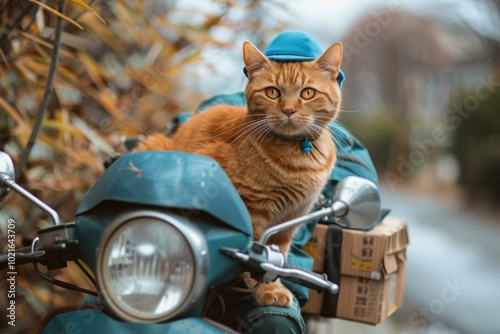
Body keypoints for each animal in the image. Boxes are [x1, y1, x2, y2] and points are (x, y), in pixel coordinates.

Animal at [135, 40, 342, 306]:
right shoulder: (250, 210)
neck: (296, 156)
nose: (288, 110)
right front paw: (268, 290)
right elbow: (257, 254)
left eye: (307, 93)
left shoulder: (291, 218)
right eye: (272, 92)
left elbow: (277, 256)